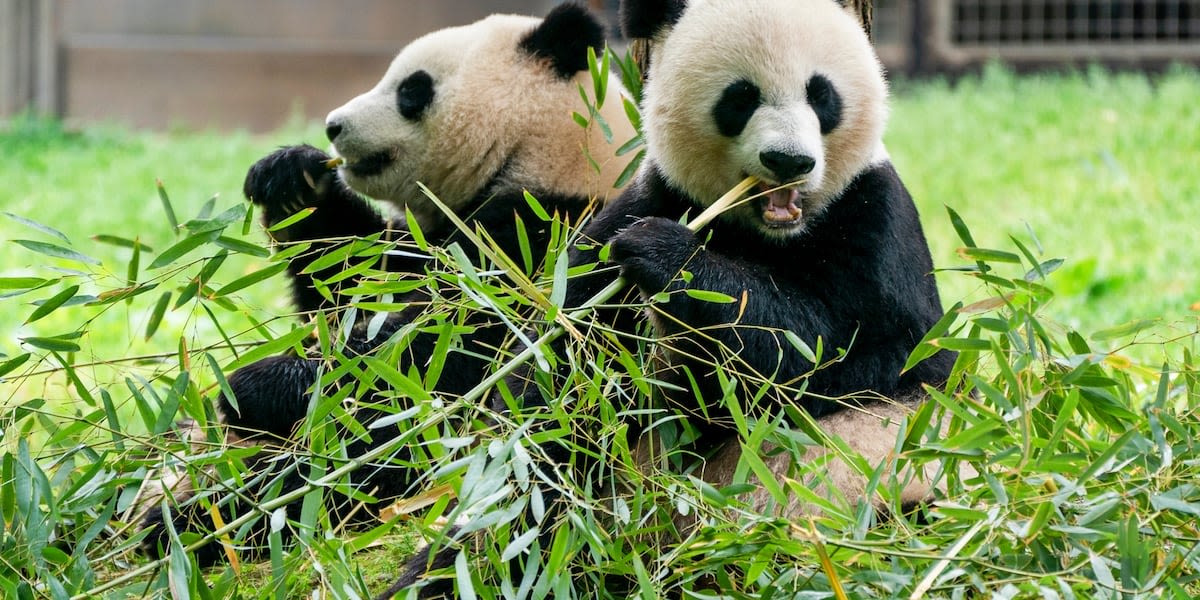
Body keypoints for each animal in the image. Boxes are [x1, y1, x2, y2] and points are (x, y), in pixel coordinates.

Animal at [138, 1, 638, 566]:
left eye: (411, 90)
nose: (333, 126)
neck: (547, 152)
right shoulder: (426, 239)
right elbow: (347, 283)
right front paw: (291, 178)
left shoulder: (545, 240)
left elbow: (440, 358)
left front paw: (255, 386)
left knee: (344, 471)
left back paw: (193, 523)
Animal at [388, 0, 960, 597]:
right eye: (741, 98)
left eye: (821, 94)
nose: (788, 161)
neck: (768, 233)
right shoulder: (643, 204)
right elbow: (561, 386)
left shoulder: (877, 225)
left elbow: (839, 353)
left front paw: (668, 257)